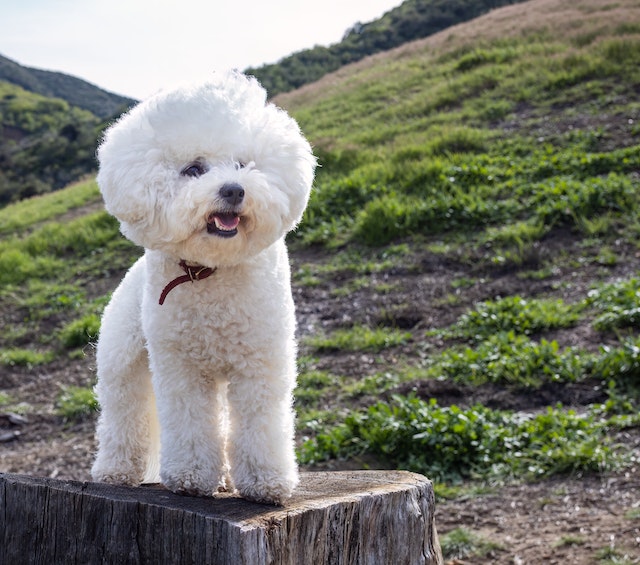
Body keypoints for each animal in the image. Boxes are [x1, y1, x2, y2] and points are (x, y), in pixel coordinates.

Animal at [91, 70, 316, 502]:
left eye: (243, 164)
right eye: (194, 169)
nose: (234, 189)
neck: (211, 270)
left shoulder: (260, 363)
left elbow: (261, 424)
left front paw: (266, 481)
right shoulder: (181, 368)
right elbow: (190, 424)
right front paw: (192, 477)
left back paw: (226, 478)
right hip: (122, 364)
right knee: (122, 416)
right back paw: (114, 471)